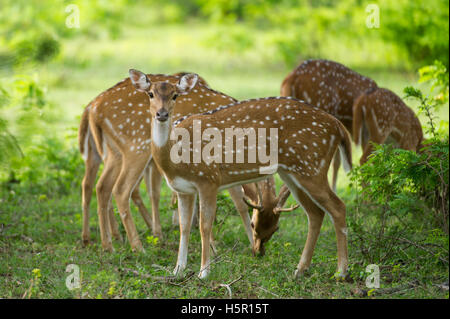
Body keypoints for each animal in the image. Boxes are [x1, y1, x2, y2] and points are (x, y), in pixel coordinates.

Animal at [80, 72, 253, 252]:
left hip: (112, 153)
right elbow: (239, 201)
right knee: (121, 189)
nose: (162, 114)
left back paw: (103, 243)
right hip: (136, 147)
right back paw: (138, 246)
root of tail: (93, 108)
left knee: (98, 185)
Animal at [128, 70, 354, 280]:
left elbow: (204, 226)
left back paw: (341, 272)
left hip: (312, 168)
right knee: (315, 213)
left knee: (338, 207)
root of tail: (339, 127)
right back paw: (300, 270)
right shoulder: (184, 189)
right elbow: (184, 228)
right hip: (293, 173)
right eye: (150, 94)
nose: (162, 114)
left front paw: (204, 272)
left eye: (175, 95)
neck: (177, 161)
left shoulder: (208, 179)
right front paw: (177, 270)